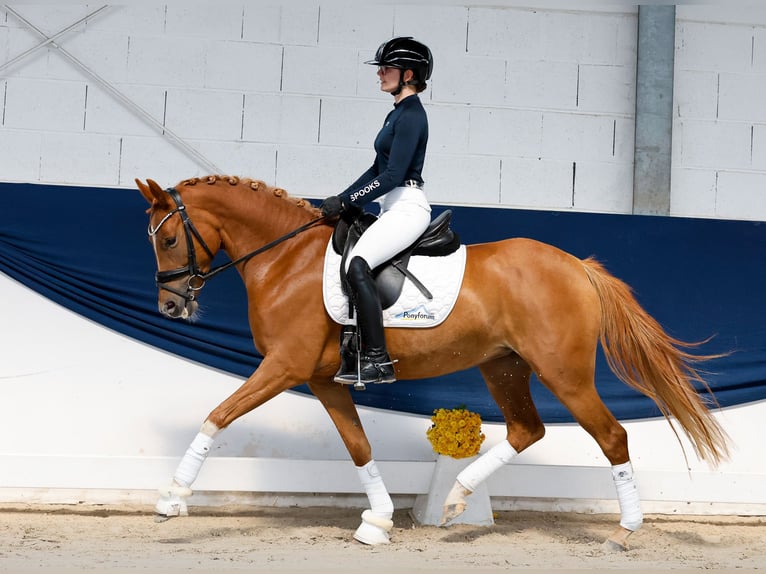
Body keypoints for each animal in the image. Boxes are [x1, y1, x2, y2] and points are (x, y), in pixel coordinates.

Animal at [135, 174, 729, 549]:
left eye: (170, 239)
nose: (171, 307)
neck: (285, 259)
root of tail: (578, 266)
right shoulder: (323, 379)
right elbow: (359, 446)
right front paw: (377, 522)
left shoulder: (284, 366)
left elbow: (218, 414)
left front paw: (172, 498)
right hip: (503, 366)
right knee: (527, 430)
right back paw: (456, 500)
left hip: (564, 373)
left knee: (611, 436)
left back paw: (624, 531)